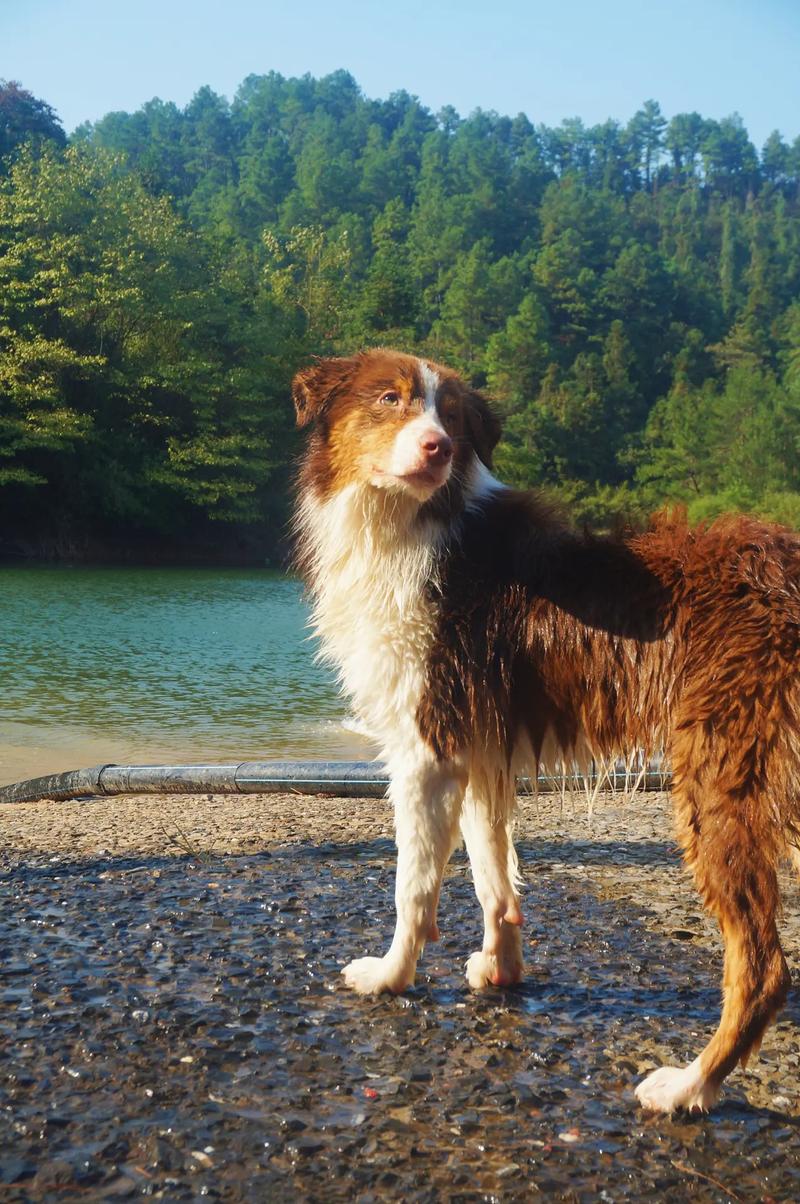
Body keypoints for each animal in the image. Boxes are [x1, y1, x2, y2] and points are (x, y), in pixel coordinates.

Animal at [292, 351, 800, 1112]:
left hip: (722, 776)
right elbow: (492, 875)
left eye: (452, 417)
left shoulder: (426, 746)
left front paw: (390, 976)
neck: (418, 520)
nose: (438, 448)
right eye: (390, 399)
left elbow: (414, 884)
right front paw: (501, 969)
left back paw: (689, 1085)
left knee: (763, 965)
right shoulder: (479, 747)